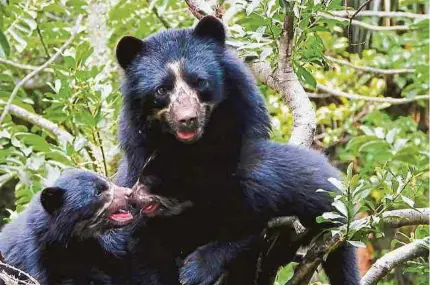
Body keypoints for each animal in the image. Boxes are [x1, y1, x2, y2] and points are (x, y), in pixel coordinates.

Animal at [115, 16, 360, 284]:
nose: (187, 119)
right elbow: (144, 240)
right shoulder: (139, 149)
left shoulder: (246, 120)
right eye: (161, 90)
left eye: (200, 82)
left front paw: (197, 269)